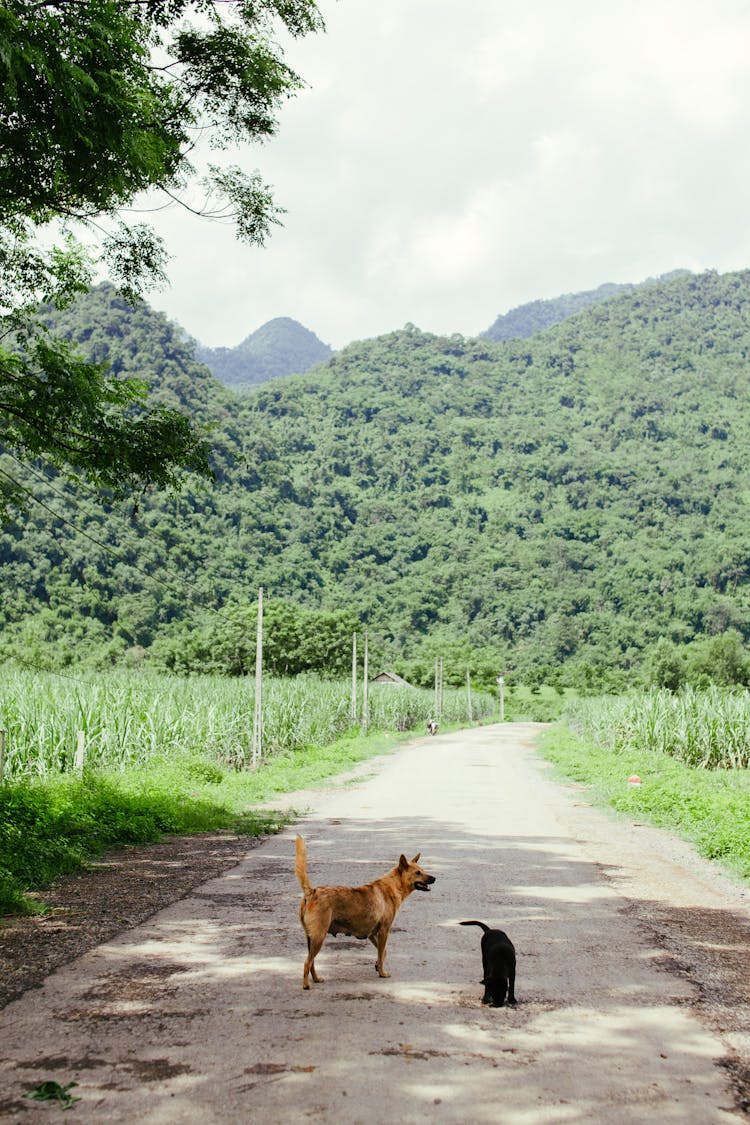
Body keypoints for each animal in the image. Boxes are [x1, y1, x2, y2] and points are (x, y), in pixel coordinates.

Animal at [292, 832, 434, 990]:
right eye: (417, 873)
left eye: (422, 870)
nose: (434, 878)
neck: (393, 885)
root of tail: (312, 892)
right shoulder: (384, 931)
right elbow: (381, 953)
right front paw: (382, 972)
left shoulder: (372, 934)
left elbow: (382, 952)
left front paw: (377, 965)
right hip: (319, 937)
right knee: (307, 962)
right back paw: (306, 985)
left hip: (311, 939)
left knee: (311, 962)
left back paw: (316, 979)